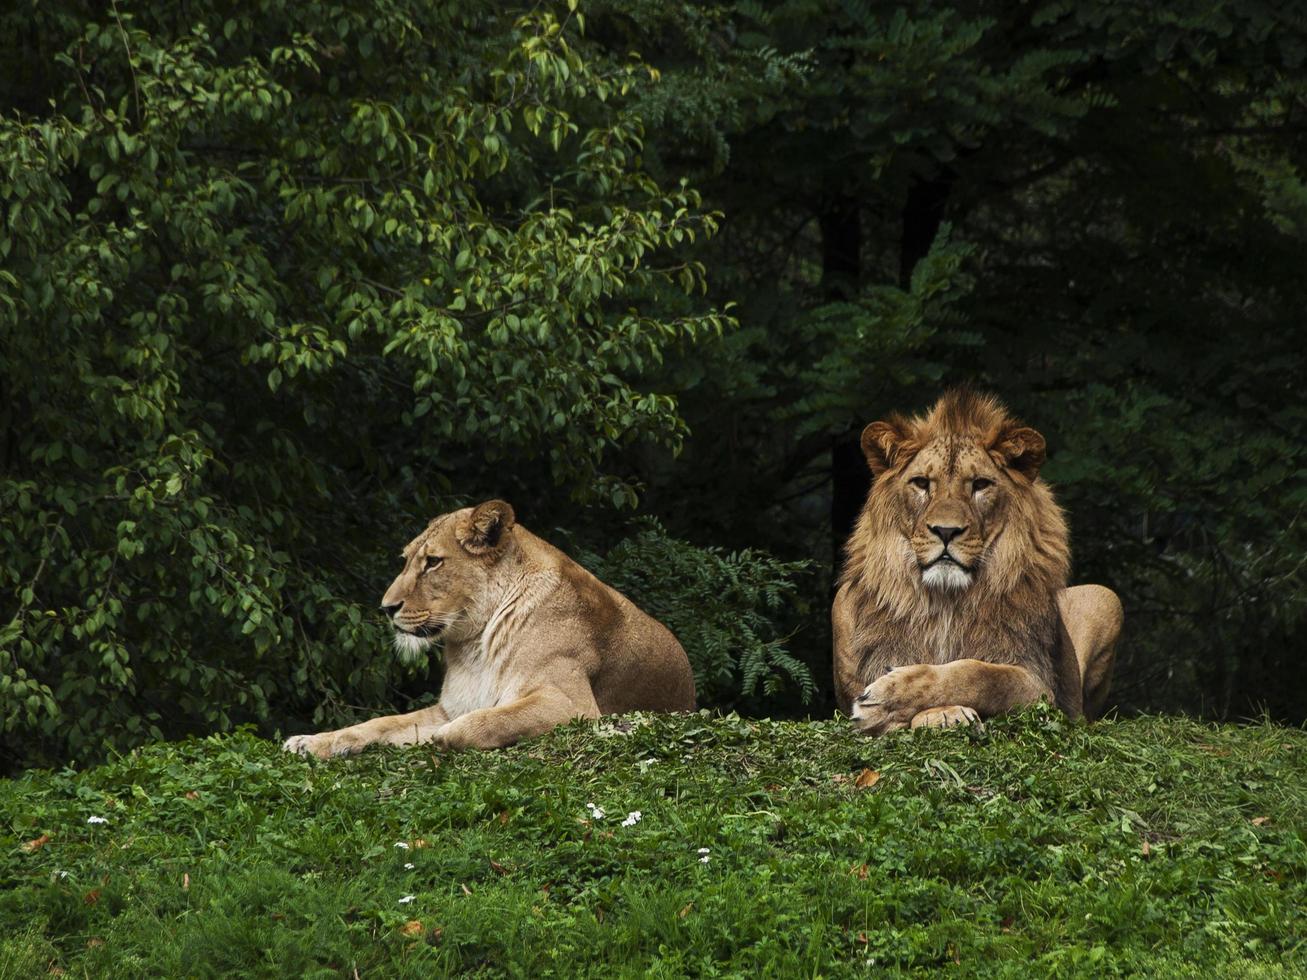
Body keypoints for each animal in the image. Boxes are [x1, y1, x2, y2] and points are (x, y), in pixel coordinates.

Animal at [282, 501, 700, 757]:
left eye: (433, 562)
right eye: (407, 560)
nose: (387, 607)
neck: (474, 645)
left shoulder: (572, 705)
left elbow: (493, 718)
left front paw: (440, 738)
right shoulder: (450, 706)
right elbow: (379, 723)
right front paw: (311, 742)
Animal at [836, 391, 1124, 736]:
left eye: (980, 484)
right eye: (921, 483)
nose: (946, 531)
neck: (946, 601)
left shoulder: (1038, 685)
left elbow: (979, 675)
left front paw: (888, 699)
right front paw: (936, 713)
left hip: (1106, 597)